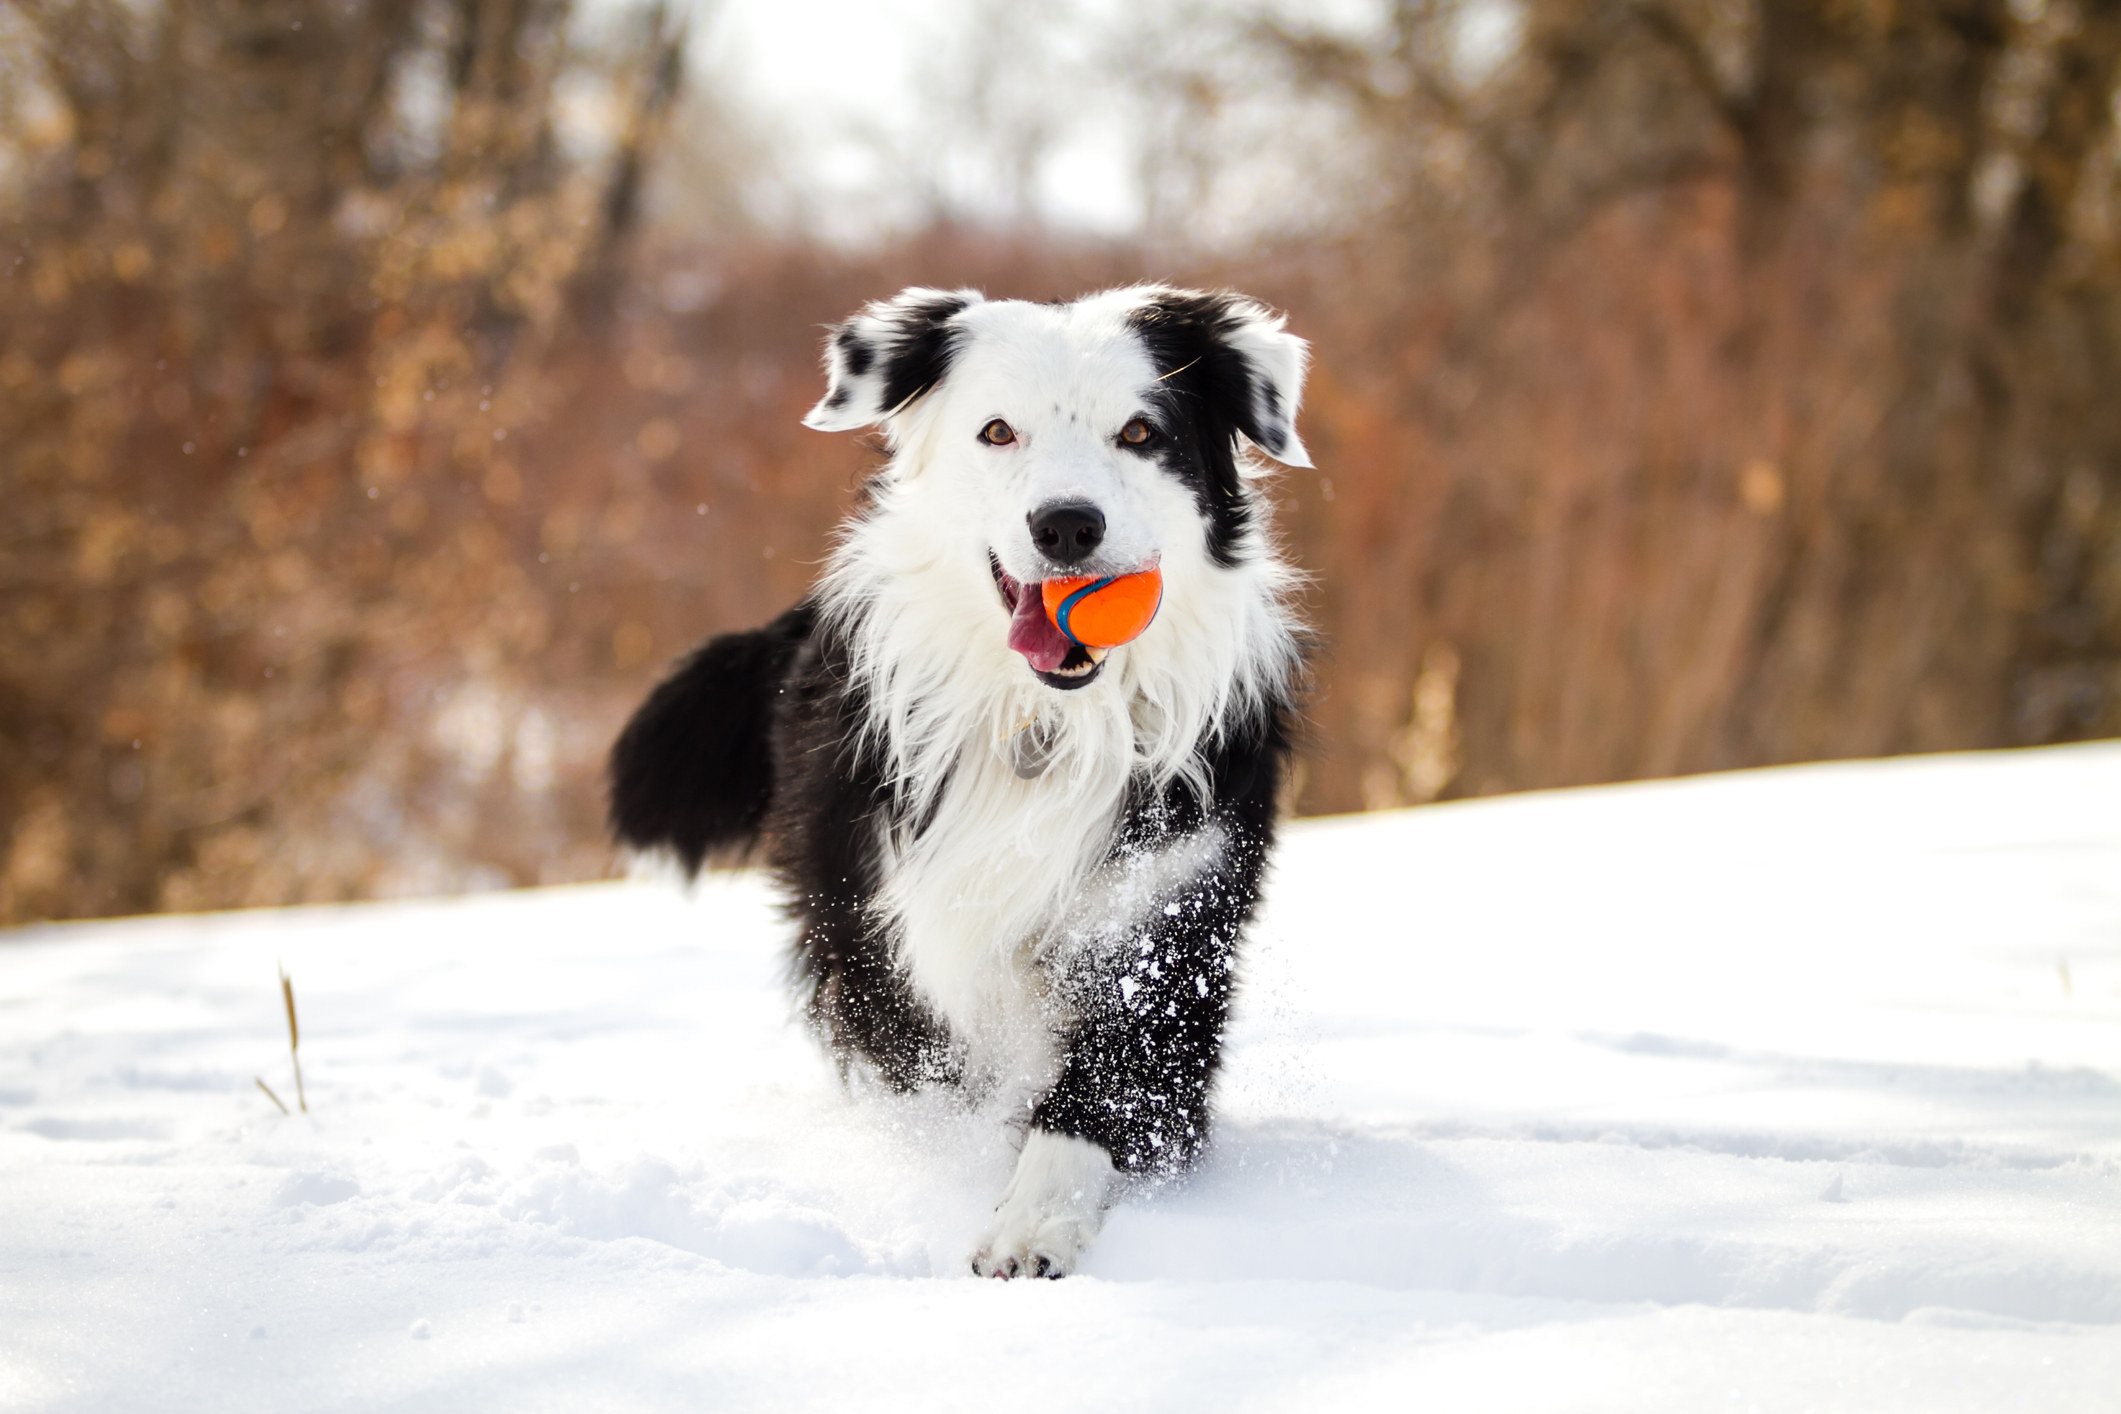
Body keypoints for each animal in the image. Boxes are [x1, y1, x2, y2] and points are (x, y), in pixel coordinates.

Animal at [610, 281, 1306, 1280]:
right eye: (997, 431)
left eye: (1140, 432)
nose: (1067, 524)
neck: (1043, 727)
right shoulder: (876, 918)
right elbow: (928, 1076)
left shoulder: (1165, 911)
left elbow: (1105, 1089)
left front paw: (1034, 1224)